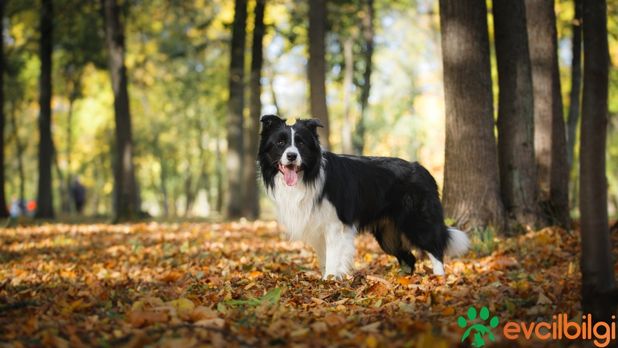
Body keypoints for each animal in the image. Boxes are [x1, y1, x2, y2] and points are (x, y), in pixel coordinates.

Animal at [258, 115, 470, 278]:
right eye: (280, 143)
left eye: (301, 143)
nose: (292, 156)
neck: (308, 175)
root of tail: (422, 169)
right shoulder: (317, 227)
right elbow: (325, 258)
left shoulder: (335, 225)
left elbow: (333, 258)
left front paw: (330, 281)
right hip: (388, 235)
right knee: (409, 257)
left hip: (417, 221)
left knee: (435, 249)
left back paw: (438, 279)